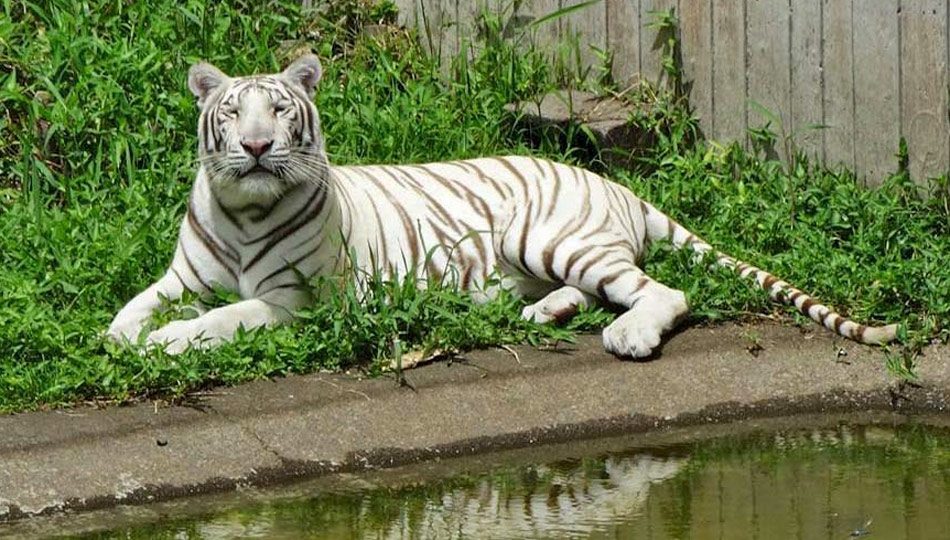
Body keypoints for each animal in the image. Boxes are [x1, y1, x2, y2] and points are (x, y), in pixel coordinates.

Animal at [106, 57, 900, 356]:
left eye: (279, 109)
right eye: (231, 113)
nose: (258, 146)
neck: (244, 210)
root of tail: (622, 185)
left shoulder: (296, 300)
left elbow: (227, 316)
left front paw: (168, 341)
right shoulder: (181, 277)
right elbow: (134, 306)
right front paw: (123, 336)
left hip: (549, 237)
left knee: (663, 292)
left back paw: (628, 336)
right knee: (590, 292)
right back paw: (536, 313)